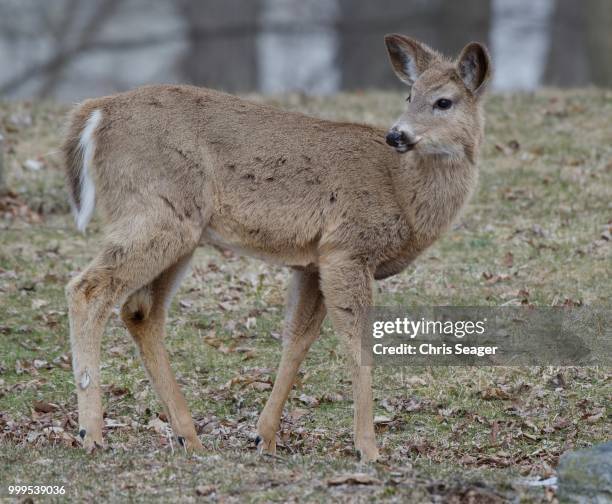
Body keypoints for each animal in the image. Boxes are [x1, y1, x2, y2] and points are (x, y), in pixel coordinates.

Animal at [63, 34, 492, 460]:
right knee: (88, 289)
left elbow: (297, 340)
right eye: (410, 95)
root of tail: (96, 111)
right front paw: (368, 448)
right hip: (156, 212)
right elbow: (358, 345)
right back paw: (92, 433)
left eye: (443, 101)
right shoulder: (347, 249)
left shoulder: (313, 261)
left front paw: (263, 437)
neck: (403, 191)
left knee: (140, 311)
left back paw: (191, 439)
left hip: (178, 228)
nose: (397, 135)